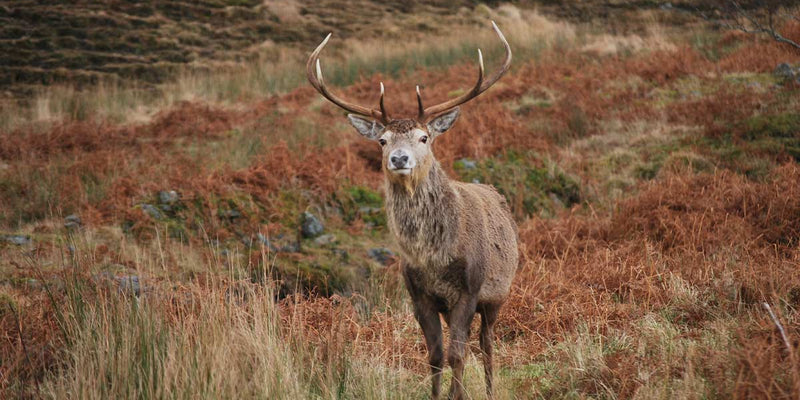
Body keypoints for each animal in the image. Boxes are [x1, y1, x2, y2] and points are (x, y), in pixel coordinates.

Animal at [307, 21, 518, 400]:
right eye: (382, 140)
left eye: (424, 137)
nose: (399, 158)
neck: (434, 257)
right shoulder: (419, 295)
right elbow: (435, 354)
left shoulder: (469, 289)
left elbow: (457, 354)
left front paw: (456, 395)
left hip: (498, 293)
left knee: (487, 344)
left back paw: (492, 389)